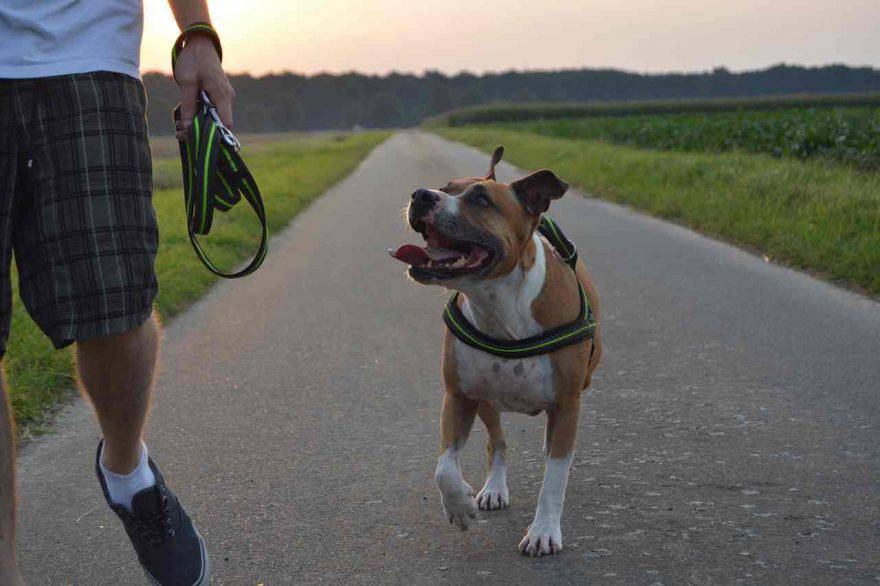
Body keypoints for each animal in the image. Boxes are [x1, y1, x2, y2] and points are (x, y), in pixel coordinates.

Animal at [388, 145, 600, 552]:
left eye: (481, 199)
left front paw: (544, 531)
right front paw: (459, 505)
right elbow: (444, 467)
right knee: (497, 442)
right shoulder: (459, 396)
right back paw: (493, 489)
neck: (498, 304)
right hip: (487, 400)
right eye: (444, 188)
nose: (421, 195)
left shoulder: (568, 404)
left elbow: (554, 477)